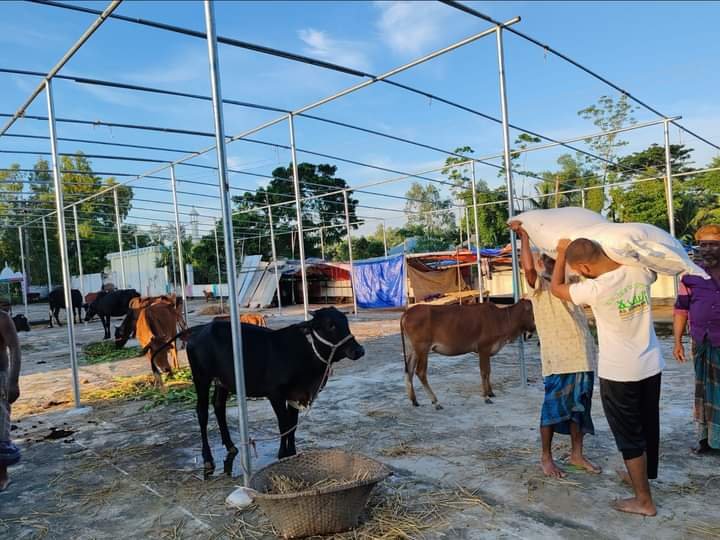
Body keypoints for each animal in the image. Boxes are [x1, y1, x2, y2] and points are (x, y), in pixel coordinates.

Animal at [400, 300, 536, 410]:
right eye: (532, 312)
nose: (534, 329)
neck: (500, 318)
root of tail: (408, 312)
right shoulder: (484, 348)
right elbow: (484, 372)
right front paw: (486, 397)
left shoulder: (487, 351)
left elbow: (489, 371)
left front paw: (491, 392)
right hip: (423, 348)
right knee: (420, 372)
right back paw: (436, 402)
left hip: (413, 349)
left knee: (409, 370)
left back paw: (414, 400)